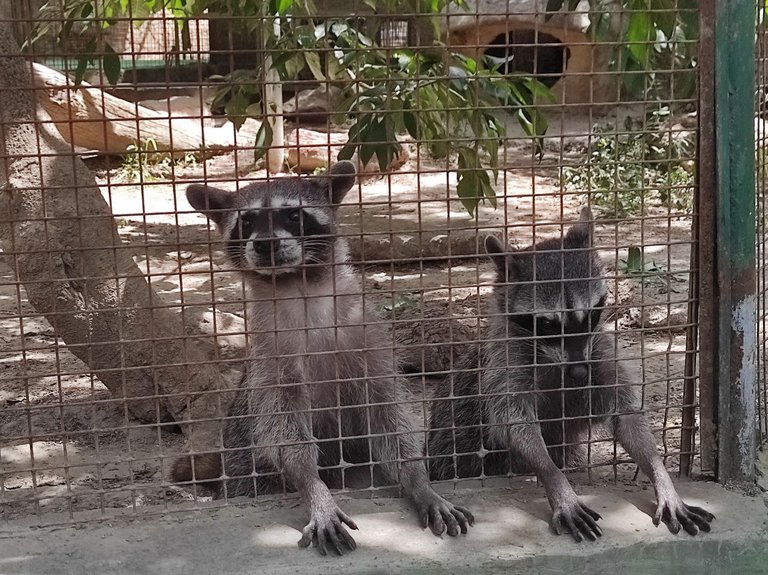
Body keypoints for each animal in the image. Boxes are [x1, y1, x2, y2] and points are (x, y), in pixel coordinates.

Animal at [176, 162, 472, 560]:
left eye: (293, 215)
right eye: (247, 221)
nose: (265, 243)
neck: (298, 287)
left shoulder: (368, 338)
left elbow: (389, 415)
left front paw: (417, 478)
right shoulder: (270, 357)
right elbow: (282, 432)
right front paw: (314, 487)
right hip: (245, 470)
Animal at [428, 209, 716, 544]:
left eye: (589, 315)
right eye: (548, 324)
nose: (579, 371)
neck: (554, 357)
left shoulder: (601, 355)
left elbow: (627, 416)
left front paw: (661, 476)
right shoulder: (505, 364)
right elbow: (514, 422)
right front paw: (556, 481)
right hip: (452, 450)